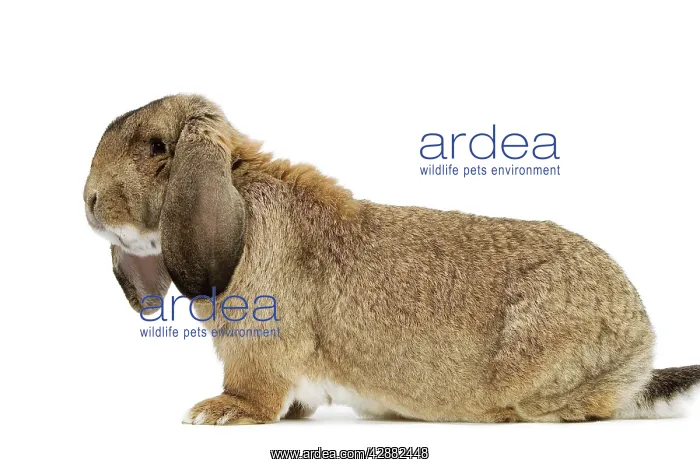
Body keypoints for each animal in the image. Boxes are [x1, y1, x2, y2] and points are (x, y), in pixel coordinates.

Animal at [83, 94, 700, 424]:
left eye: (157, 148)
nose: (88, 201)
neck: (239, 192)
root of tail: (640, 345)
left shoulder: (256, 347)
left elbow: (253, 388)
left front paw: (220, 411)